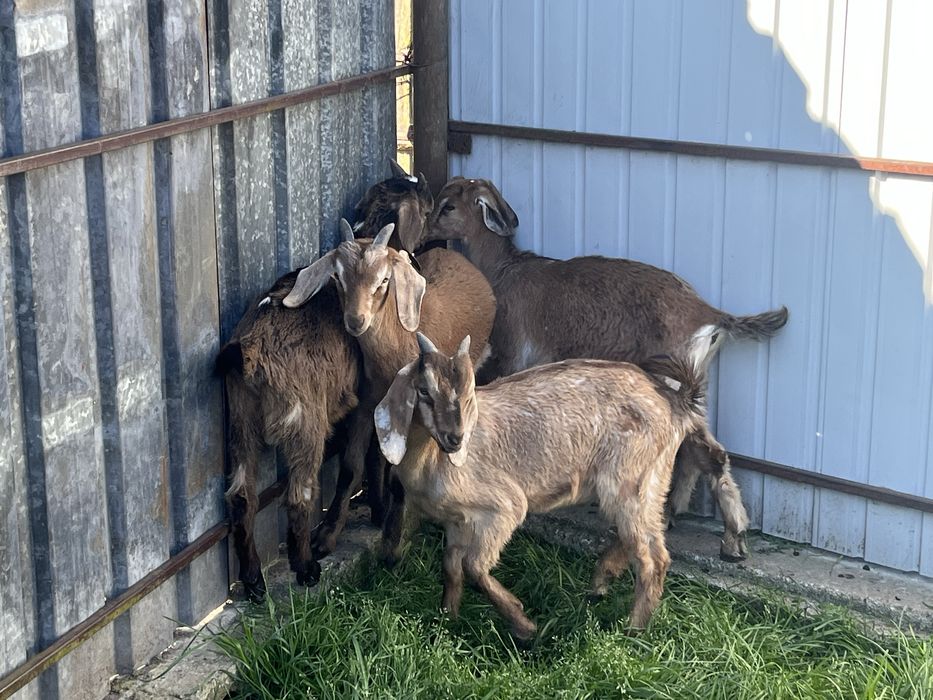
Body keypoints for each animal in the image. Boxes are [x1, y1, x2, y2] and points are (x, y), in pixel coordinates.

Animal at [282, 220, 496, 558]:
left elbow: (399, 476)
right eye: (338, 277)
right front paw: (326, 536)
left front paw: (392, 544)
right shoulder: (365, 405)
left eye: (384, 279)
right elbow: (351, 467)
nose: (356, 320)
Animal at [374, 331, 721, 638]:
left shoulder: (502, 508)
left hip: (629, 480)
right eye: (423, 391)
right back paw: (600, 583)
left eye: (468, 390)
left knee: (653, 558)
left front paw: (525, 627)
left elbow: (474, 567)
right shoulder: (456, 522)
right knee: (645, 532)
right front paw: (448, 619)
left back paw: (632, 630)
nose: (455, 438)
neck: (429, 460)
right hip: (648, 481)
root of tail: (675, 402)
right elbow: (451, 567)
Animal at [424, 177, 790, 561]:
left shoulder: (515, 357)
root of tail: (707, 314)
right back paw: (721, 533)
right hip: (695, 386)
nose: (425, 227)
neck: (506, 271)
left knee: (699, 450)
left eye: (448, 206)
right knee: (705, 452)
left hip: (671, 382)